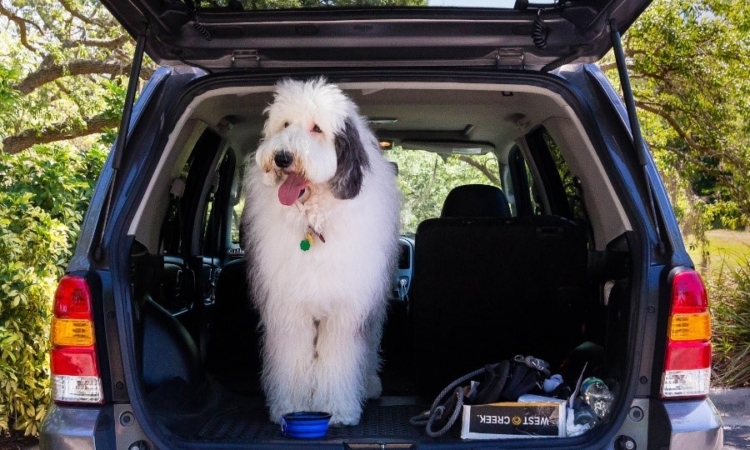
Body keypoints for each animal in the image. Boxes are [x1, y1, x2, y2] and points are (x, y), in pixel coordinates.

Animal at [244, 77, 402, 426]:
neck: (313, 224)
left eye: (317, 128)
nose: (282, 157)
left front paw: (338, 409)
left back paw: (369, 384)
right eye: (285, 124)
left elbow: (339, 360)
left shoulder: (346, 310)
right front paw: (291, 405)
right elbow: (292, 358)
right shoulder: (291, 309)